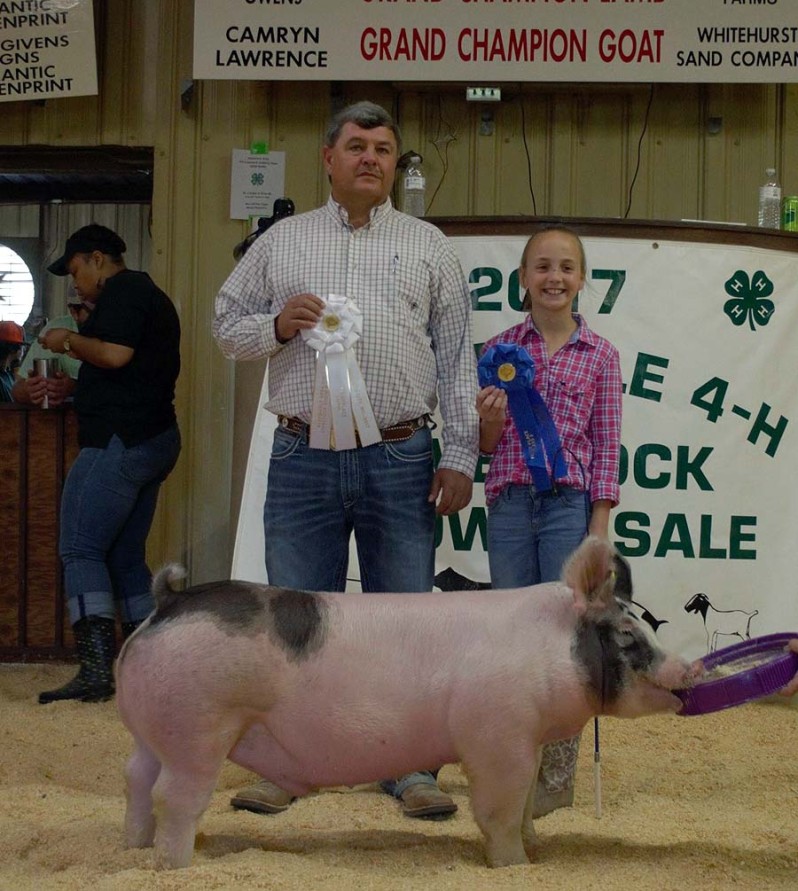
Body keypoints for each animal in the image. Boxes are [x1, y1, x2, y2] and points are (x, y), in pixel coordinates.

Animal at [115, 536, 696, 872]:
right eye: (627, 636)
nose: (688, 669)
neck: (550, 647)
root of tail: (167, 602)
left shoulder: (526, 739)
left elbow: (527, 804)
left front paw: (535, 850)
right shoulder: (497, 737)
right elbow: (501, 809)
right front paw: (515, 867)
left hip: (152, 733)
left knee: (137, 780)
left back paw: (134, 849)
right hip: (197, 727)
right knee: (174, 795)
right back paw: (175, 866)